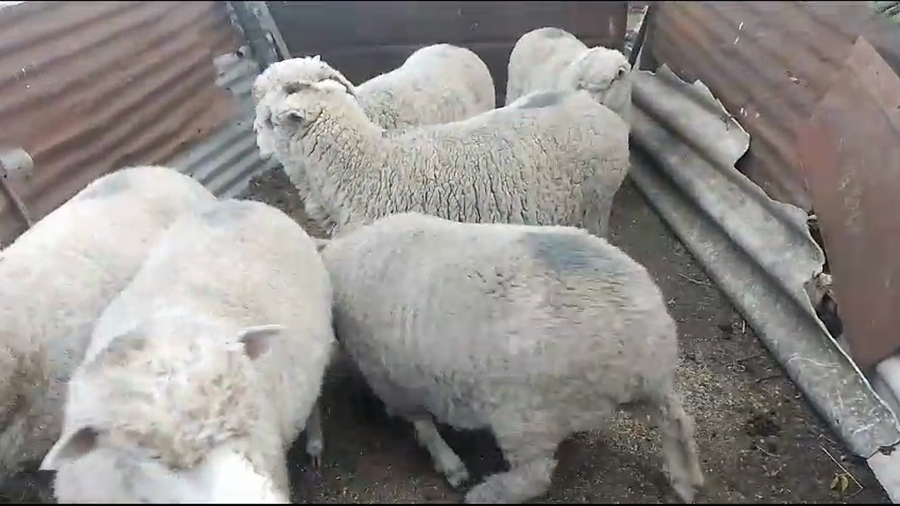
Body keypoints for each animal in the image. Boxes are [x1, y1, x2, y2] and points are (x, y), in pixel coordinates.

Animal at [315, 212, 704, 503]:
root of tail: (641, 328)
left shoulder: (389, 376)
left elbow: (422, 424)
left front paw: (451, 466)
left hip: (525, 418)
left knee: (535, 476)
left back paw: (485, 493)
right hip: (649, 385)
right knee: (678, 421)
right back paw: (687, 482)